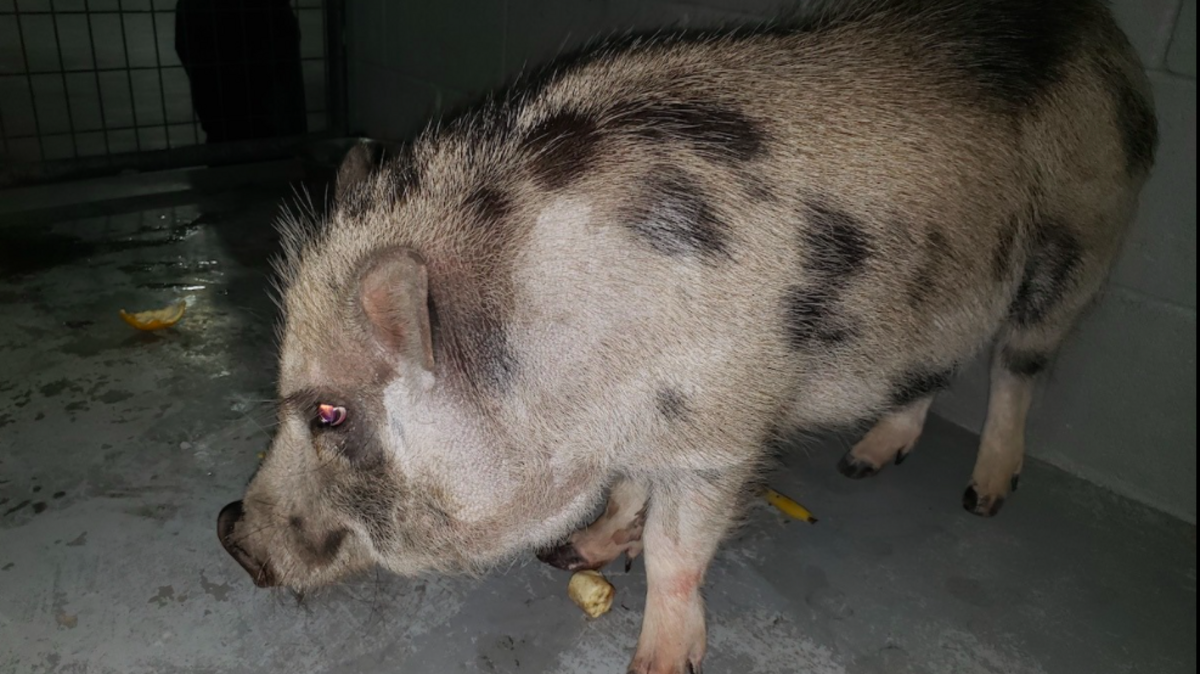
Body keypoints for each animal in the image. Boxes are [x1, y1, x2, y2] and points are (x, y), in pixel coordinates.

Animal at [217, 1, 1157, 671]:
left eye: (331, 414)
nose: (229, 530)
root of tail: (1109, 42)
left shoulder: (718, 428)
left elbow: (677, 548)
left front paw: (659, 664)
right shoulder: (646, 425)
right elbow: (633, 487)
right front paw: (580, 551)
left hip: (1080, 242)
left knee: (1018, 366)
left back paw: (982, 498)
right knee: (934, 367)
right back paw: (864, 463)